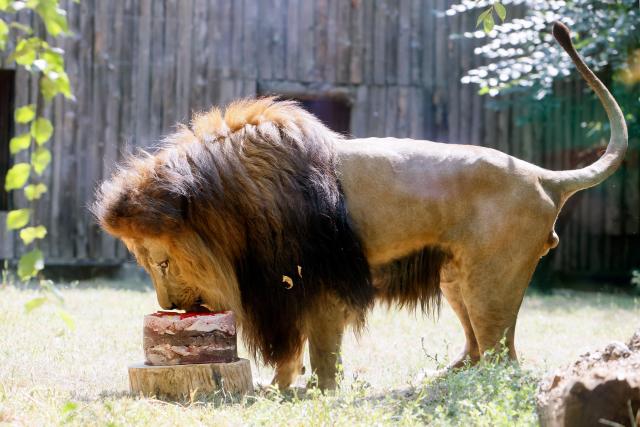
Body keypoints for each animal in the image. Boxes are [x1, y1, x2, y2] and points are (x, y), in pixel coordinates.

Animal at [93, 23, 627, 390]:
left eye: (162, 261)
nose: (169, 307)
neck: (234, 209)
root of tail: (542, 174)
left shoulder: (319, 283)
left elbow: (321, 351)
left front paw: (320, 393)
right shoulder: (285, 291)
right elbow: (291, 352)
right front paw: (278, 388)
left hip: (489, 282)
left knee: (503, 357)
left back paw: (464, 388)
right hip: (457, 279)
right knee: (479, 348)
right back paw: (443, 380)